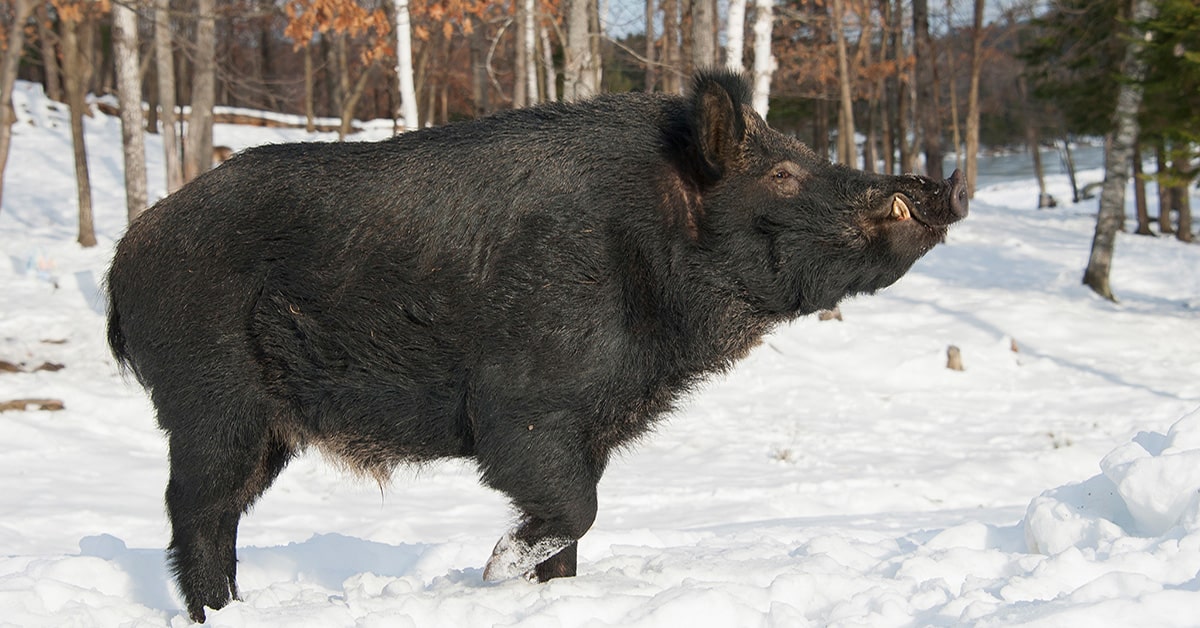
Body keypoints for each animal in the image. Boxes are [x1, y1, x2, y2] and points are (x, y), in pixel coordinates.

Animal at [106, 70, 967, 622]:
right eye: (784, 173)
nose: (942, 187)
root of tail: (125, 262)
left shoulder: (588, 430)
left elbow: (574, 526)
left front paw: (549, 593)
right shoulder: (525, 411)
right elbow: (573, 507)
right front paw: (494, 569)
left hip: (264, 431)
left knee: (217, 513)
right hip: (210, 400)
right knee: (194, 511)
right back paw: (217, 611)